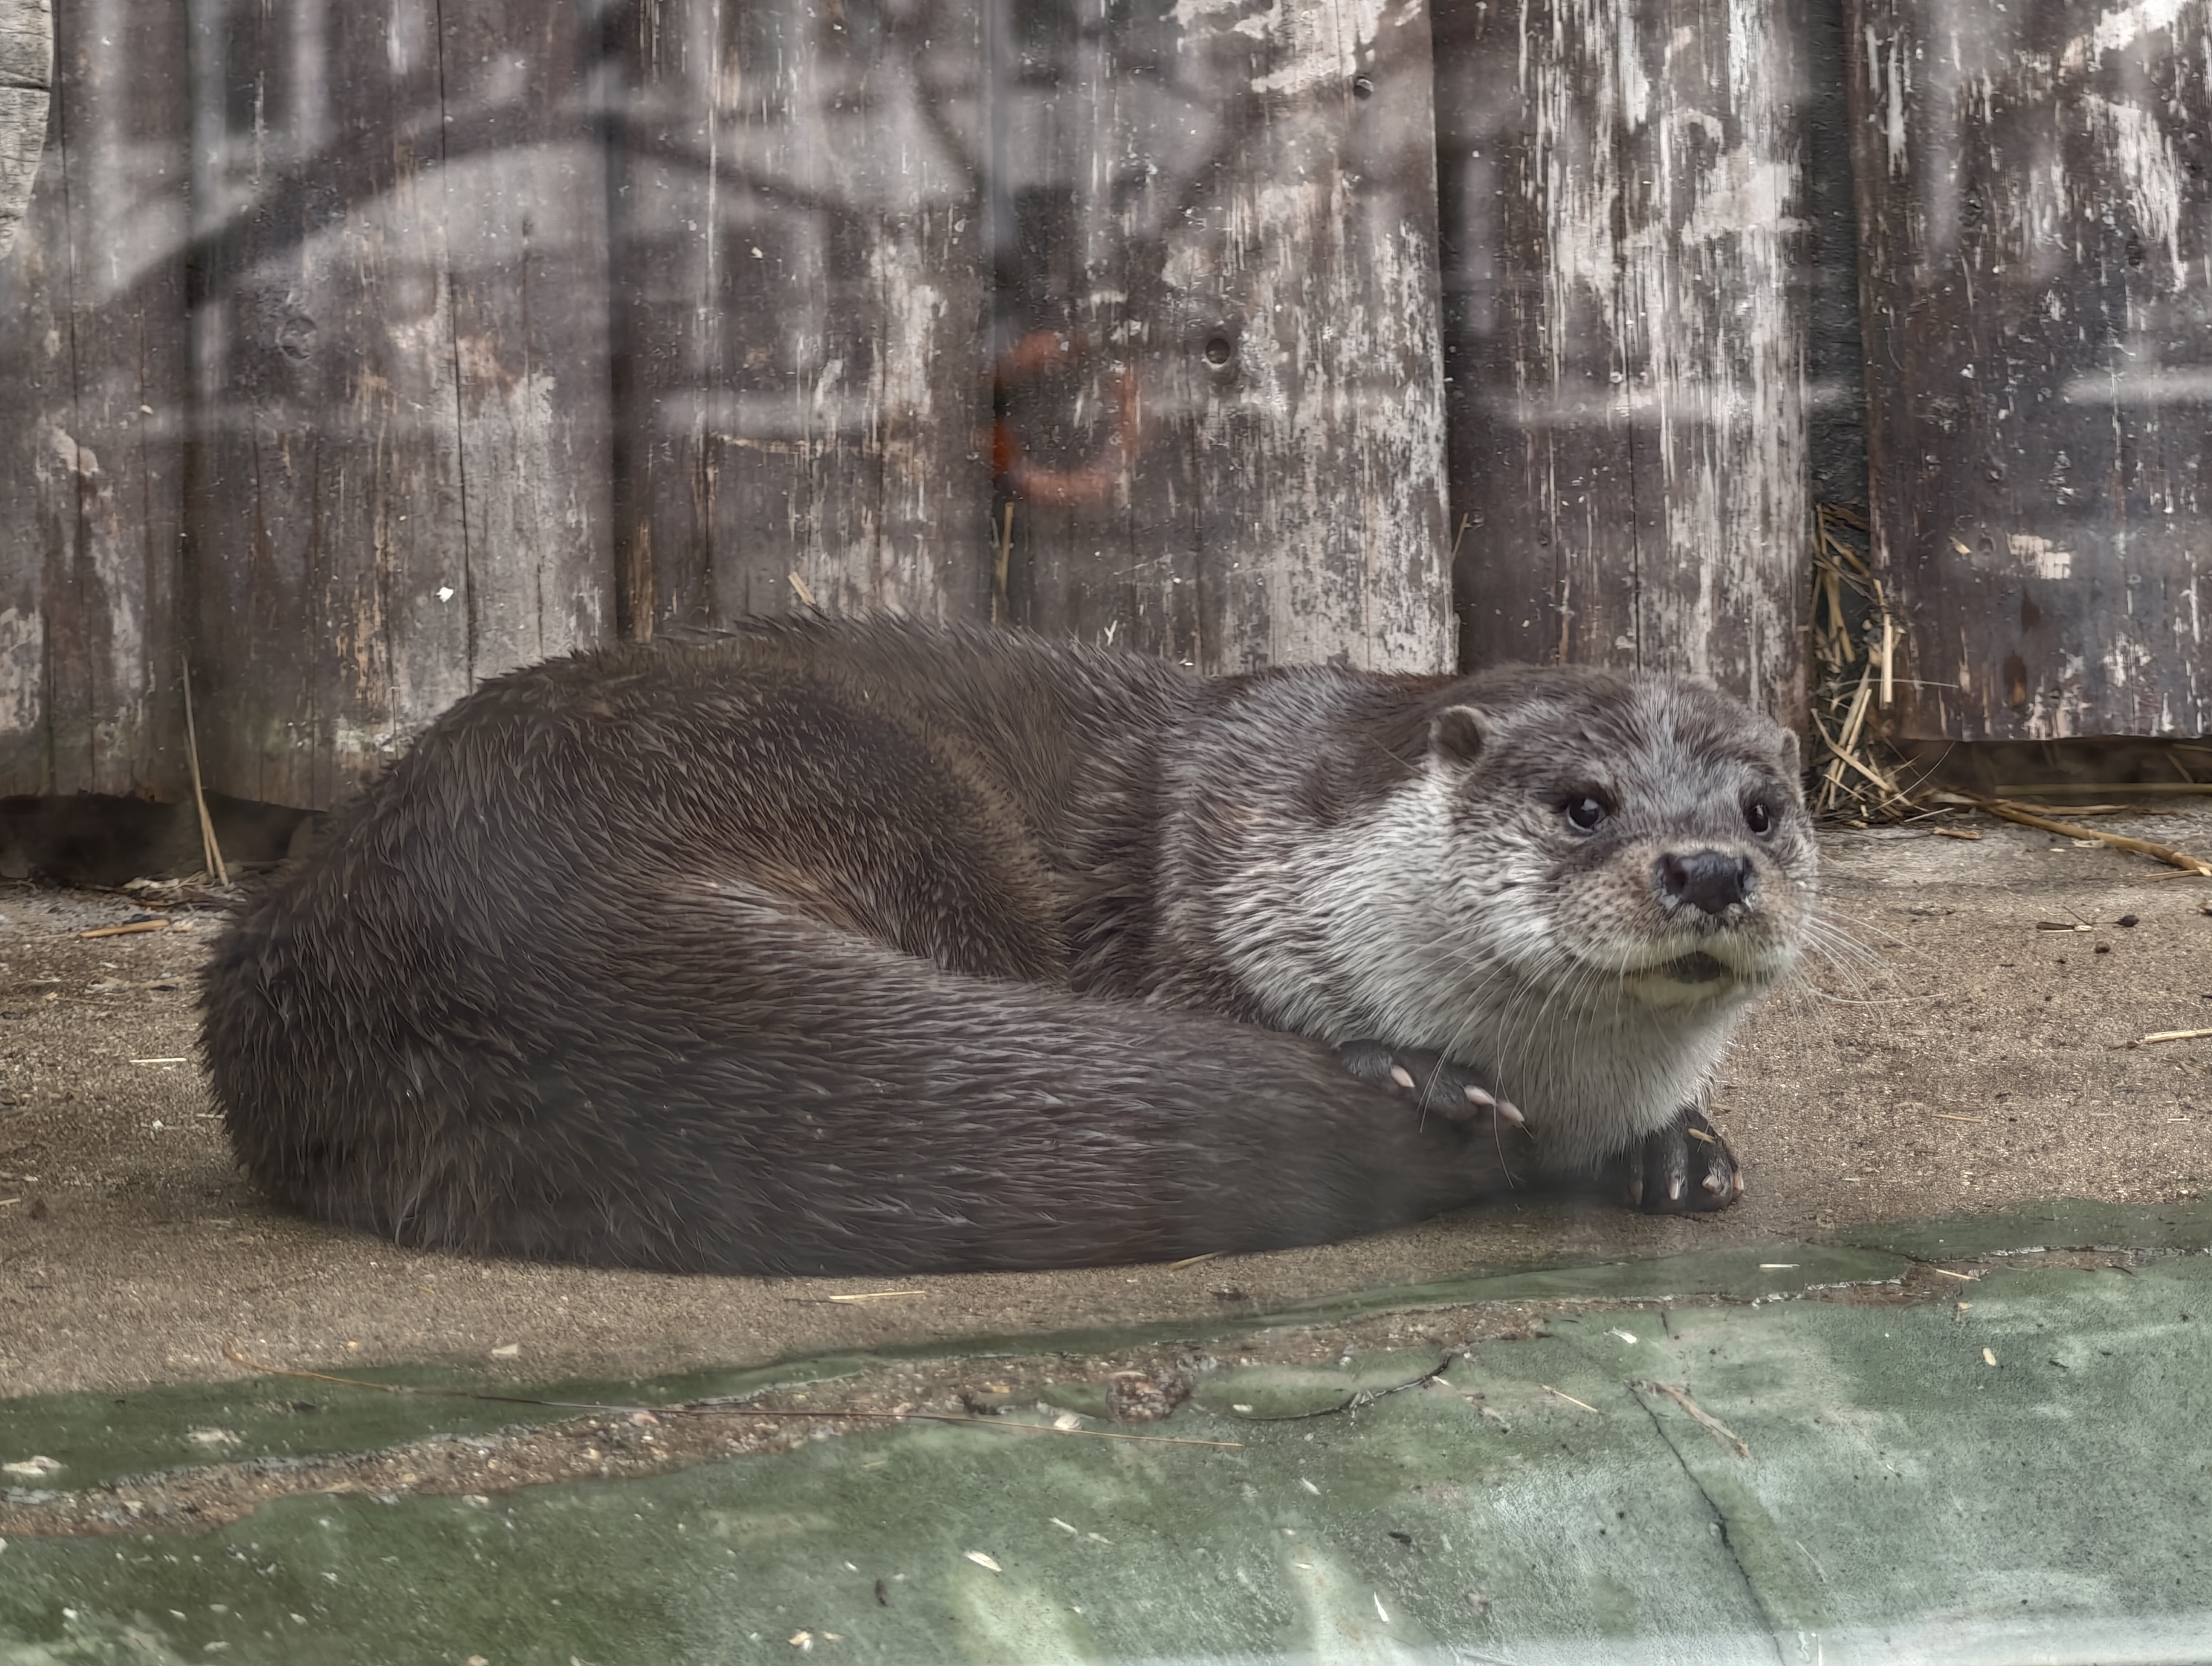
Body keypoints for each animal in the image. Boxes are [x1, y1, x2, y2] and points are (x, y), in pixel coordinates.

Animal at [201, 617, 1815, 1276]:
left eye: (1765, 804)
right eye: (1582, 802)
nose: (1708, 866)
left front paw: (1681, 1148)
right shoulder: (1197, 916)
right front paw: (1406, 1072)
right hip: (878, 790)